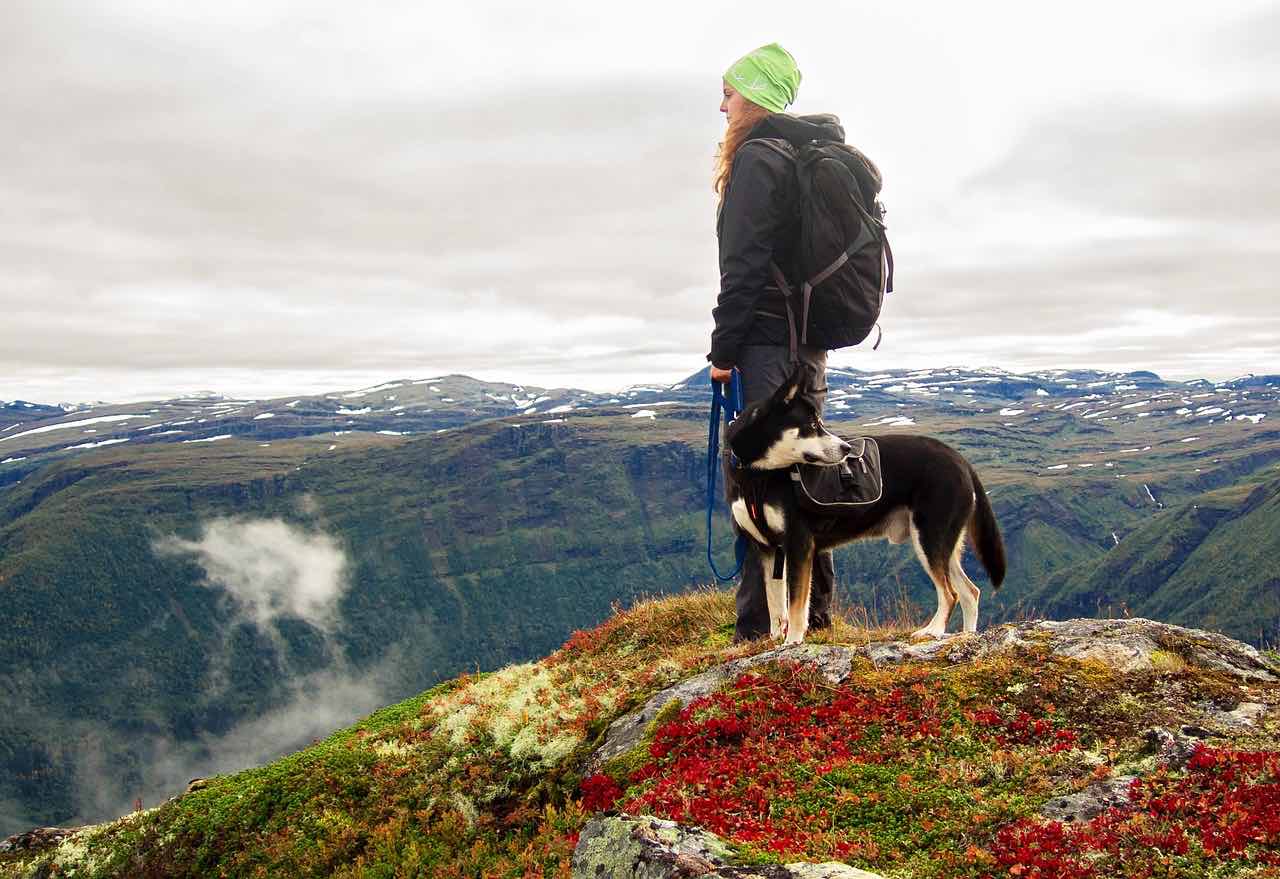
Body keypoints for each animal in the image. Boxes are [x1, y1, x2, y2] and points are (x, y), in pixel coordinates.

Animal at [727, 363, 1003, 647]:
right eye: (812, 425)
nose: (846, 448)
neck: (758, 475)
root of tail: (960, 460)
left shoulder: (799, 543)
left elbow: (795, 607)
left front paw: (792, 641)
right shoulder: (767, 549)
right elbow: (775, 605)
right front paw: (773, 642)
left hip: (929, 537)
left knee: (950, 593)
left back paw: (933, 631)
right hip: (943, 543)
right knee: (970, 591)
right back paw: (967, 636)